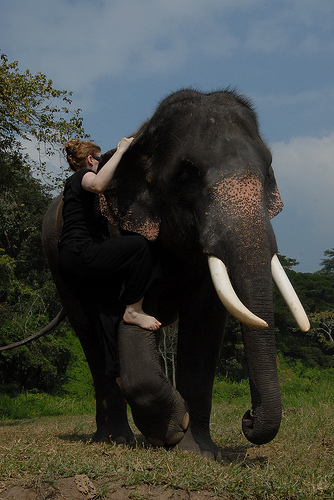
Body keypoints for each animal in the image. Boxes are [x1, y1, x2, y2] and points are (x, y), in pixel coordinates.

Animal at [42, 88, 310, 458]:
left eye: (268, 170)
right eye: (186, 176)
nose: (248, 419)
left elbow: (206, 322)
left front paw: (197, 451)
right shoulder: (123, 230)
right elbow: (129, 327)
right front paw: (170, 430)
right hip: (61, 267)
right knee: (90, 335)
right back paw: (115, 439)